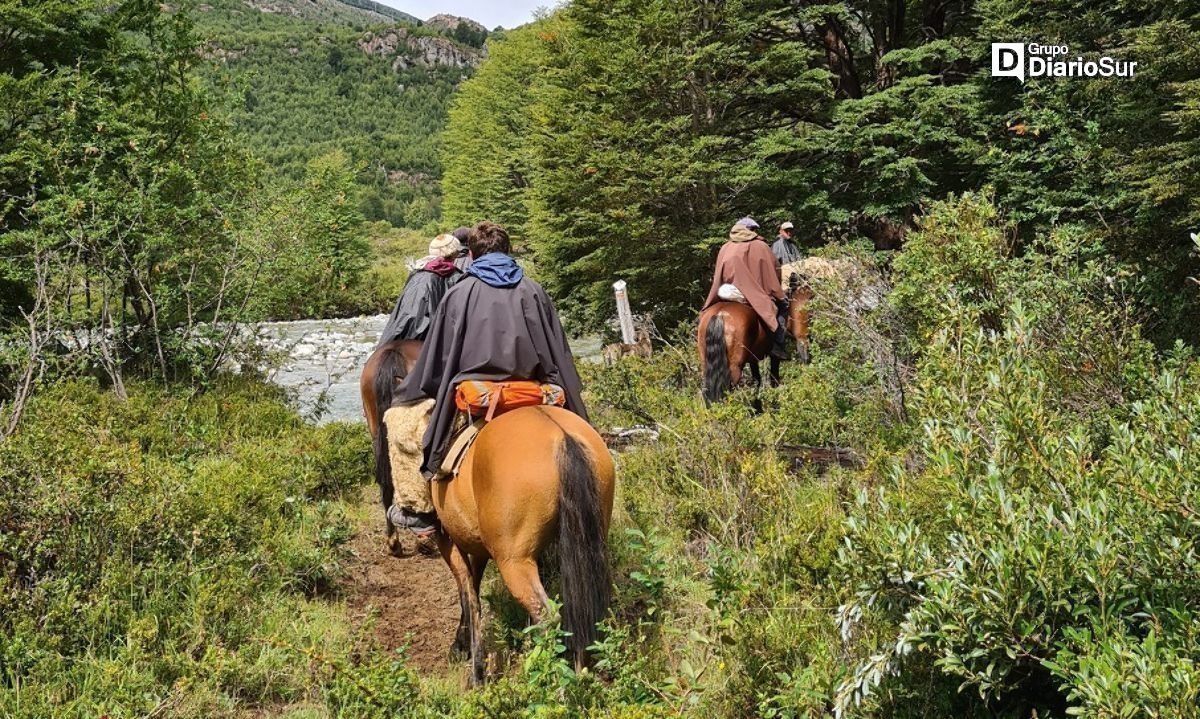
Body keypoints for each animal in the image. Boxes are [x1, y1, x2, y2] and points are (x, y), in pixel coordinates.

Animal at [386, 405, 619, 686]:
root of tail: (563, 437)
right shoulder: (479, 546)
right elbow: (474, 586)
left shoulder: (448, 540)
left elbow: (468, 593)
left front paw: (475, 671)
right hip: (589, 543)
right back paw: (579, 673)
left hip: (513, 561)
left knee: (548, 616)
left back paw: (553, 681)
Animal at [696, 272, 816, 405]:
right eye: (810, 296)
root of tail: (720, 314)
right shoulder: (784, 350)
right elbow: (774, 378)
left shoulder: (753, 358)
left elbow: (757, 381)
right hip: (734, 368)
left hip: (707, 364)